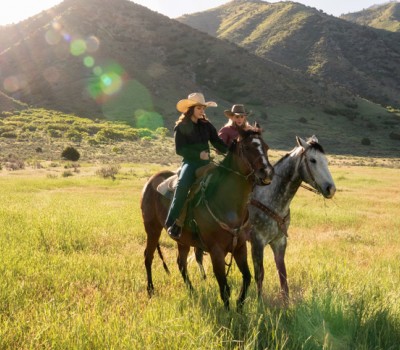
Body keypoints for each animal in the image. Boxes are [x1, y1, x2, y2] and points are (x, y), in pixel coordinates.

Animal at [141, 127, 276, 308]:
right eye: (247, 148)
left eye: (266, 147)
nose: (267, 172)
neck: (229, 205)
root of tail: (151, 181)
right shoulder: (216, 251)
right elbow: (224, 288)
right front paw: (228, 313)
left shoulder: (240, 247)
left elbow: (247, 278)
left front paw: (240, 306)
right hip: (152, 229)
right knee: (148, 257)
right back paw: (150, 290)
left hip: (182, 240)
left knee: (181, 263)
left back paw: (192, 291)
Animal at [252, 135, 336, 300]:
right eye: (312, 160)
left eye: (326, 160)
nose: (331, 189)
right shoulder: (257, 242)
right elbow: (259, 275)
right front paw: (258, 303)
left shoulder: (279, 242)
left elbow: (283, 276)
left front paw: (286, 303)